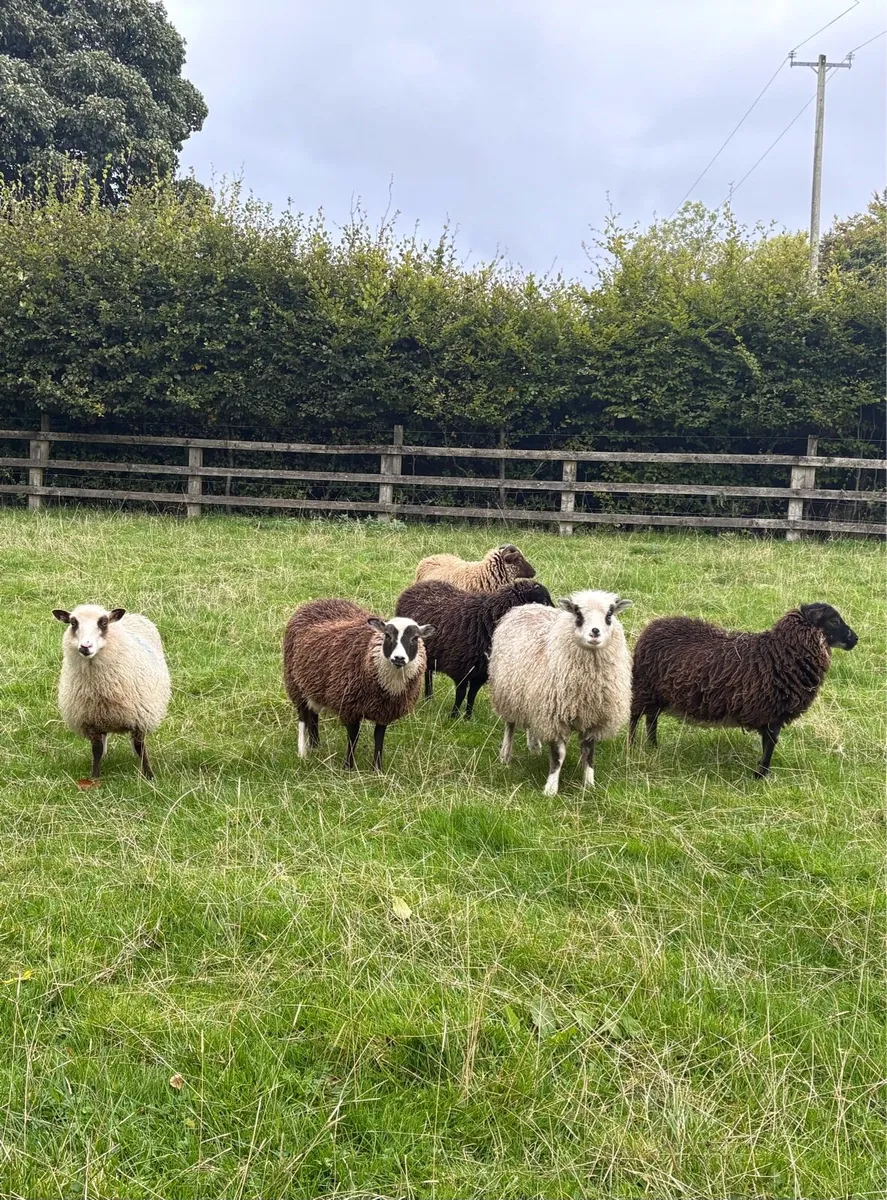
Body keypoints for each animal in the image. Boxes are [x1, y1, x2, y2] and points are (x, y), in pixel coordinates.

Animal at [52, 605, 171, 779]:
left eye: (103, 622)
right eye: (73, 623)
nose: (85, 647)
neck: (100, 688)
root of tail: (132, 615)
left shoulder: (140, 718)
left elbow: (140, 747)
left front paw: (149, 775)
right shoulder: (91, 721)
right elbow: (96, 750)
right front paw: (94, 777)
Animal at [283, 599, 434, 771]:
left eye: (415, 638)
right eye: (388, 635)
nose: (399, 658)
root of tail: (317, 602)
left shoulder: (385, 711)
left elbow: (379, 737)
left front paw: (377, 769)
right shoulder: (349, 706)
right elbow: (353, 736)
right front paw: (348, 766)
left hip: (314, 683)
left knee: (313, 714)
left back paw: (316, 746)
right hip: (295, 683)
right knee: (303, 716)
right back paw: (302, 752)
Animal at [394, 578, 554, 717]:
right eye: (543, 601)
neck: (485, 620)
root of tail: (418, 585)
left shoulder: (481, 672)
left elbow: (472, 695)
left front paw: (468, 717)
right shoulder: (462, 669)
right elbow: (461, 694)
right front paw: (453, 716)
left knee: (428, 672)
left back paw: (429, 698)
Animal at [487, 590, 633, 795]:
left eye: (609, 614)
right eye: (578, 613)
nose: (595, 632)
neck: (587, 686)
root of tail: (529, 606)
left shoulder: (593, 718)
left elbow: (589, 753)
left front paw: (589, 785)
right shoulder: (554, 718)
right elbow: (558, 755)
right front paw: (550, 788)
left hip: (531, 698)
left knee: (531, 724)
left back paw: (534, 747)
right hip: (508, 693)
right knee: (510, 725)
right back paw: (505, 754)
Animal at [629, 602, 858, 778]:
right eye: (834, 620)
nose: (855, 639)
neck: (779, 653)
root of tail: (651, 627)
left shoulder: (771, 714)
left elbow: (767, 744)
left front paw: (761, 772)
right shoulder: (772, 713)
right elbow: (770, 744)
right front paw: (760, 775)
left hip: (658, 693)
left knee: (651, 719)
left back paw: (653, 746)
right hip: (644, 687)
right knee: (636, 717)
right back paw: (632, 746)